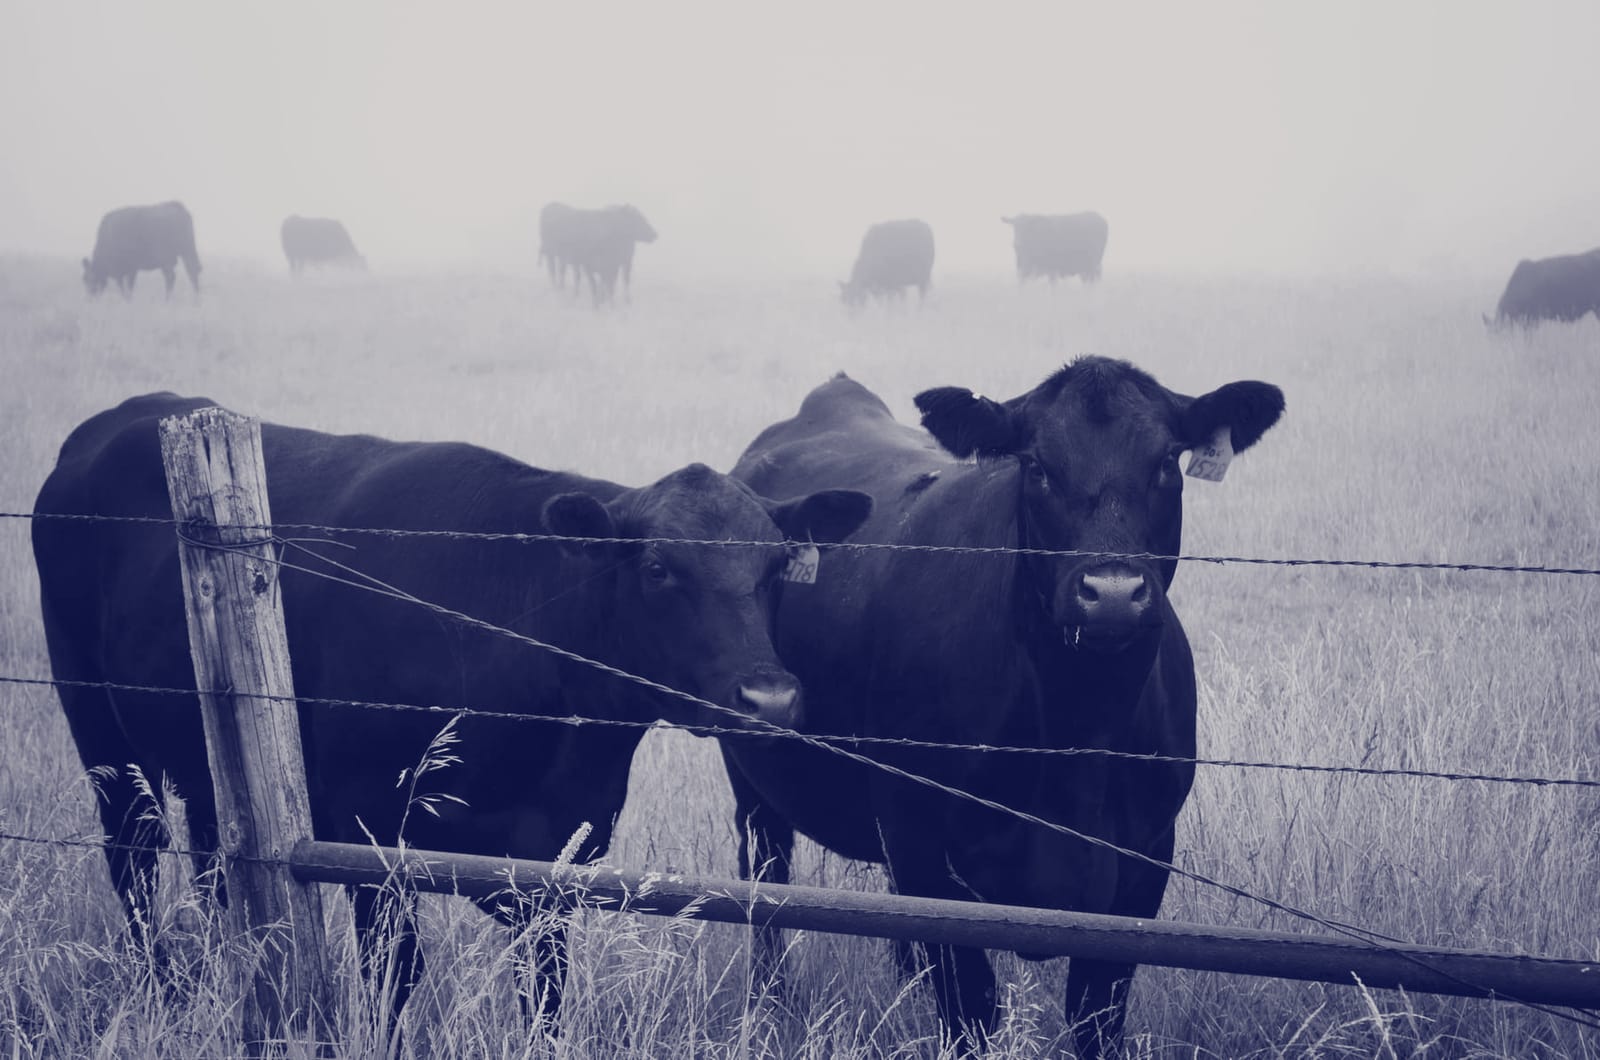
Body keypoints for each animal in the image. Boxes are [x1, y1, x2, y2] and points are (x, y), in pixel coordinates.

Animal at [32, 392, 871, 1032]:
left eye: (774, 567)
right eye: (660, 568)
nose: (769, 699)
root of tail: (131, 415)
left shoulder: (558, 861)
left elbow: (545, 996)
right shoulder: (369, 841)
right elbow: (395, 984)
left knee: (212, 862)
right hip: (99, 731)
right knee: (134, 857)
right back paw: (162, 992)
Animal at [724, 359, 1283, 1058]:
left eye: (1164, 462)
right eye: (1037, 466)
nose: (1112, 592)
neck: (1077, 734)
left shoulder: (1145, 862)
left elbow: (1096, 1015)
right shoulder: (923, 847)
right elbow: (968, 1006)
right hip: (753, 775)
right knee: (765, 886)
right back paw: (769, 1007)